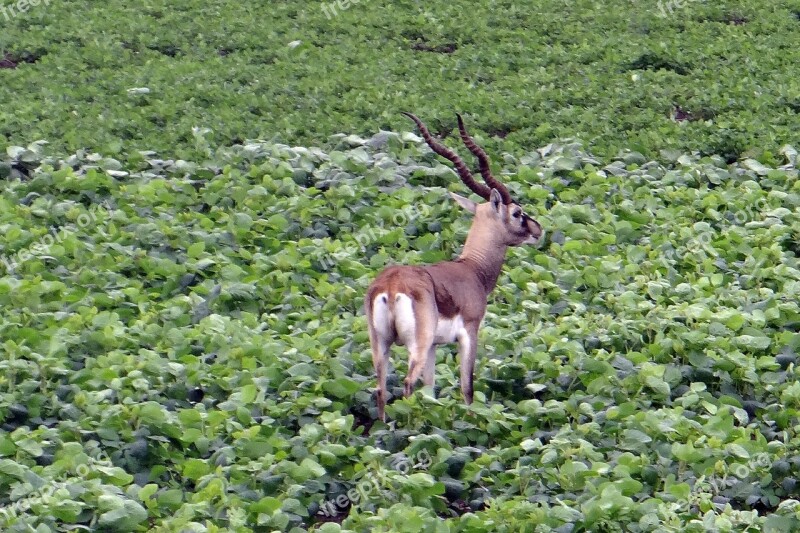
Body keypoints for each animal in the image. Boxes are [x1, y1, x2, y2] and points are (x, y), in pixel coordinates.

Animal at [364, 112, 544, 420]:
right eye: (517, 212)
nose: (538, 229)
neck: (472, 269)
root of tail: (390, 285)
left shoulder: (435, 347)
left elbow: (431, 389)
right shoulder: (469, 333)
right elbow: (467, 387)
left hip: (381, 345)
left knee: (381, 389)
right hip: (416, 344)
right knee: (407, 384)